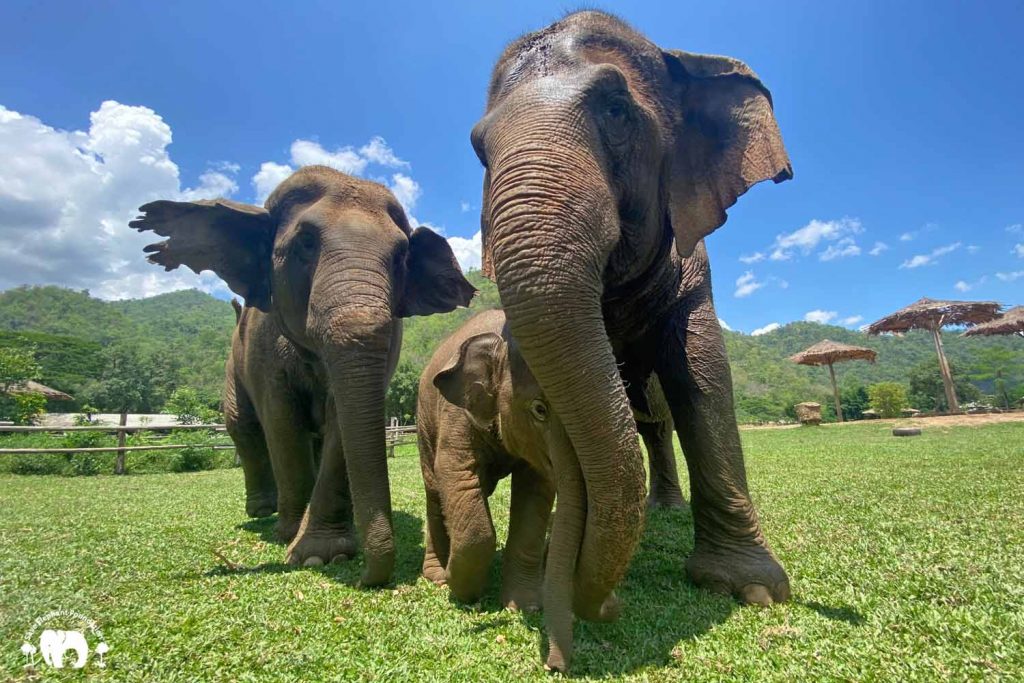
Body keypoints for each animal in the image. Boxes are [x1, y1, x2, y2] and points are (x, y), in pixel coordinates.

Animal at [131, 167, 475, 585]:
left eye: (401, 257)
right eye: (306, 243)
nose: (367, 578)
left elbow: (340, 423)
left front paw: (323, 554)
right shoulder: (262, 348)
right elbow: (281, 421)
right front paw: (296, 542)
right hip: (232, 365)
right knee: (243, 424)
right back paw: (266, 512)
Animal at [417, 309, 557, 610]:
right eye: (539, 409)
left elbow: (536, 489)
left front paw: (525, 606)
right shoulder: (456, 413)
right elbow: (454, 473)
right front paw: (460, 590)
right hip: (424, 423)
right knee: (434, 491)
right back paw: (437, 576)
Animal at [471, 10, 790, 671]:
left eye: (617, 111)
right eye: (478, 149)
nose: (605, 607)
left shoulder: (693, 264)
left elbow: (702, 378)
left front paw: (750, 589)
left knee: (658, 418)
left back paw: (664, 509)